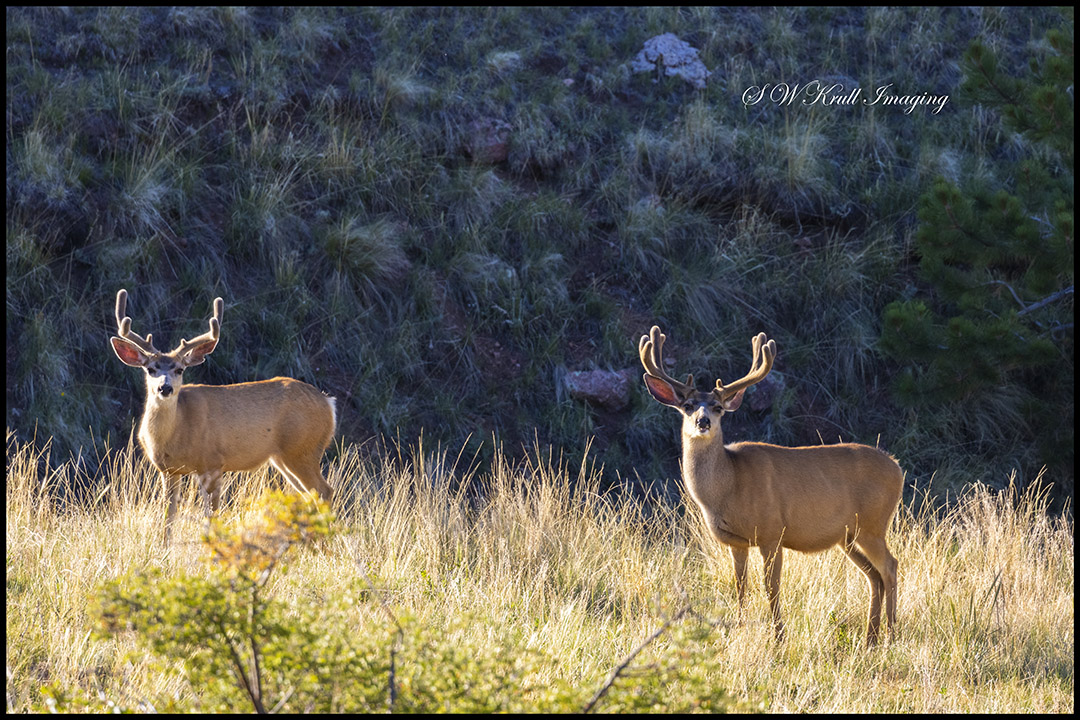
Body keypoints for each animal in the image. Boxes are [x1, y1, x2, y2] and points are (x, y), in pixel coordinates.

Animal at [110, 289, 336, 544]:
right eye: (150, 369)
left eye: (180, 369)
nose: (165, 388)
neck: (178, 431)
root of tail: (328, 403)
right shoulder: (169, 470)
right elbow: (169, 515)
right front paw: (163, 547)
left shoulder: (213, 463)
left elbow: (212, 514)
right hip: (285, 456)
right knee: (310, 495)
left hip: (302, 449)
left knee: (324, 491)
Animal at [639, 326, 903, 645]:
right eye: (687, 406)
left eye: (718, 407)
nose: (703, 422)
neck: (729, 487)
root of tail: (898, 468)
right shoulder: (735, 541)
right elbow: (740, 586)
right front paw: (739, 629)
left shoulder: (771, 532)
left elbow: (771, 588)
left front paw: (779, 639)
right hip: (848, 535)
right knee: (873, 575)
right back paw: (870, 638)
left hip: (873, 524)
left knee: (890, 567)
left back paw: (890, 634)